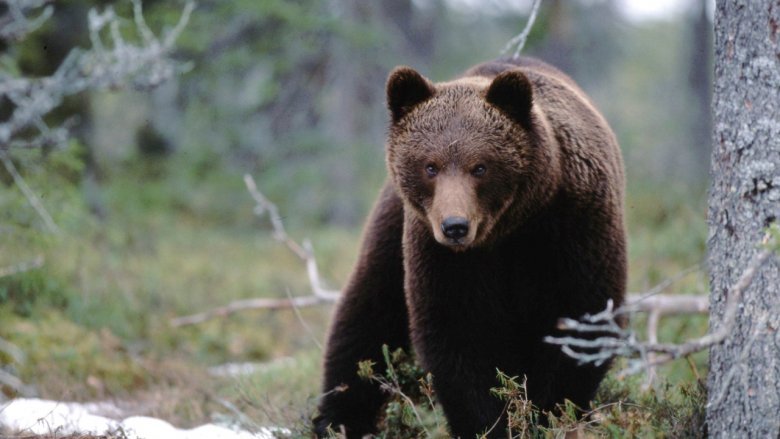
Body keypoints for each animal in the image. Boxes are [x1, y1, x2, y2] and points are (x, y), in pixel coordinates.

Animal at [312, 56, 628, 438]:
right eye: (429, 166)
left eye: (480, 166)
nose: (455, 226)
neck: (509, 228)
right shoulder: (444, 257)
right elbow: (459, 334)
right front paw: (491, 423)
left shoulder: (574, 231)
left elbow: (581, 324)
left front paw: (546, 414)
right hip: (392, 227)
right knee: (366, 316)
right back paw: (339, 419)